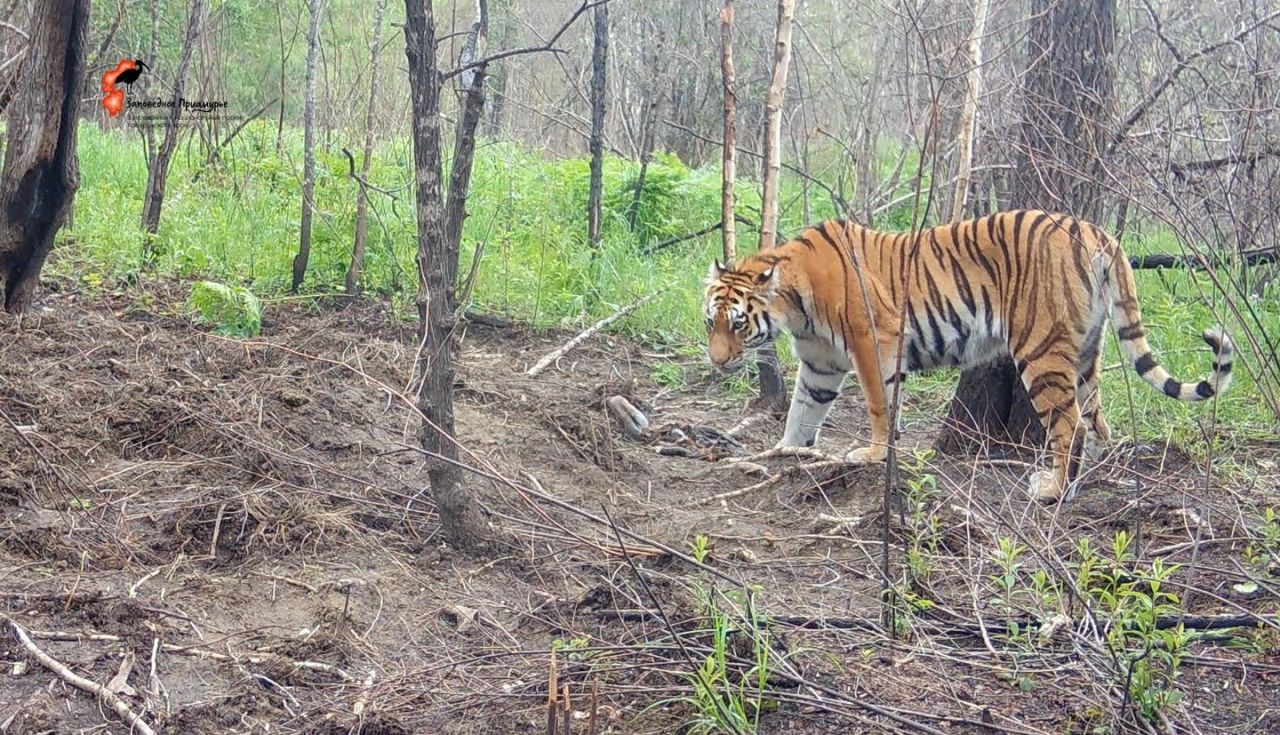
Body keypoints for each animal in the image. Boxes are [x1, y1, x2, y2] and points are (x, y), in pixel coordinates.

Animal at [706, 210, 1233, 504]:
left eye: (738, 323)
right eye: (710, 321)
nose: (717, 361)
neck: (793, 304)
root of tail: (1098, 233)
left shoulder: (872, 340)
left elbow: (878, 404)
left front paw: (873, 454)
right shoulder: (821, 362)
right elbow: (802, 409)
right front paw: (785, 452)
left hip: (1040, 348)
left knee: (1072, 425)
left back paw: (1053, 490)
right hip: (1087, 351)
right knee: (1098, 421)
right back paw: (1086, 478)